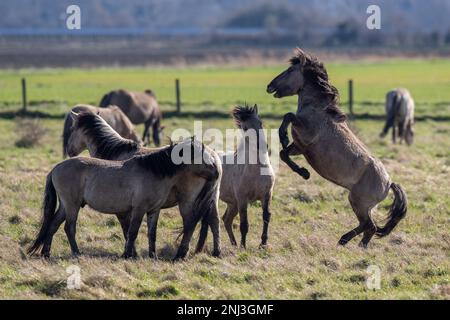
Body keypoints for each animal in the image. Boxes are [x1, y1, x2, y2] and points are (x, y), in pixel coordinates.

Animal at [62, 112, 221, 258]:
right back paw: (215, 252)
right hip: (211, 200)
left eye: (72, 129)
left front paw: (130, 253)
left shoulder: (124, 210)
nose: (69, 151)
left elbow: (127, 231)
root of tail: (213, 158)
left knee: (190, 224)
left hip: (187, 202)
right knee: (214, 222)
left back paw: (180, 254)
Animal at [218, 105, 274, 248]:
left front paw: (263, 244)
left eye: (260, 122)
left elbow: (266, 217)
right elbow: (244, 224)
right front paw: (243, 247)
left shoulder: (267, 195)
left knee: (226, 220)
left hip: (232, 203)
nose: (262, 146)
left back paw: (234, 244)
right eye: (245, 128)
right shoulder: (242, 199)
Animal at [268, 48, 408, 248]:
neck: (319, 111)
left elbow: (288, 116)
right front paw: (304, 173)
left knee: (370, 226)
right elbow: (283, 153)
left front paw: (283, 136)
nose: (269, 86)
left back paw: (351, 244)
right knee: (368, 227)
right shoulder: (301, 147)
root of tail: (389, 183)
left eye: (289, 70)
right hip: (363, 205)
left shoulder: (306, 135)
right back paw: (348, 242)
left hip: (358, 202)